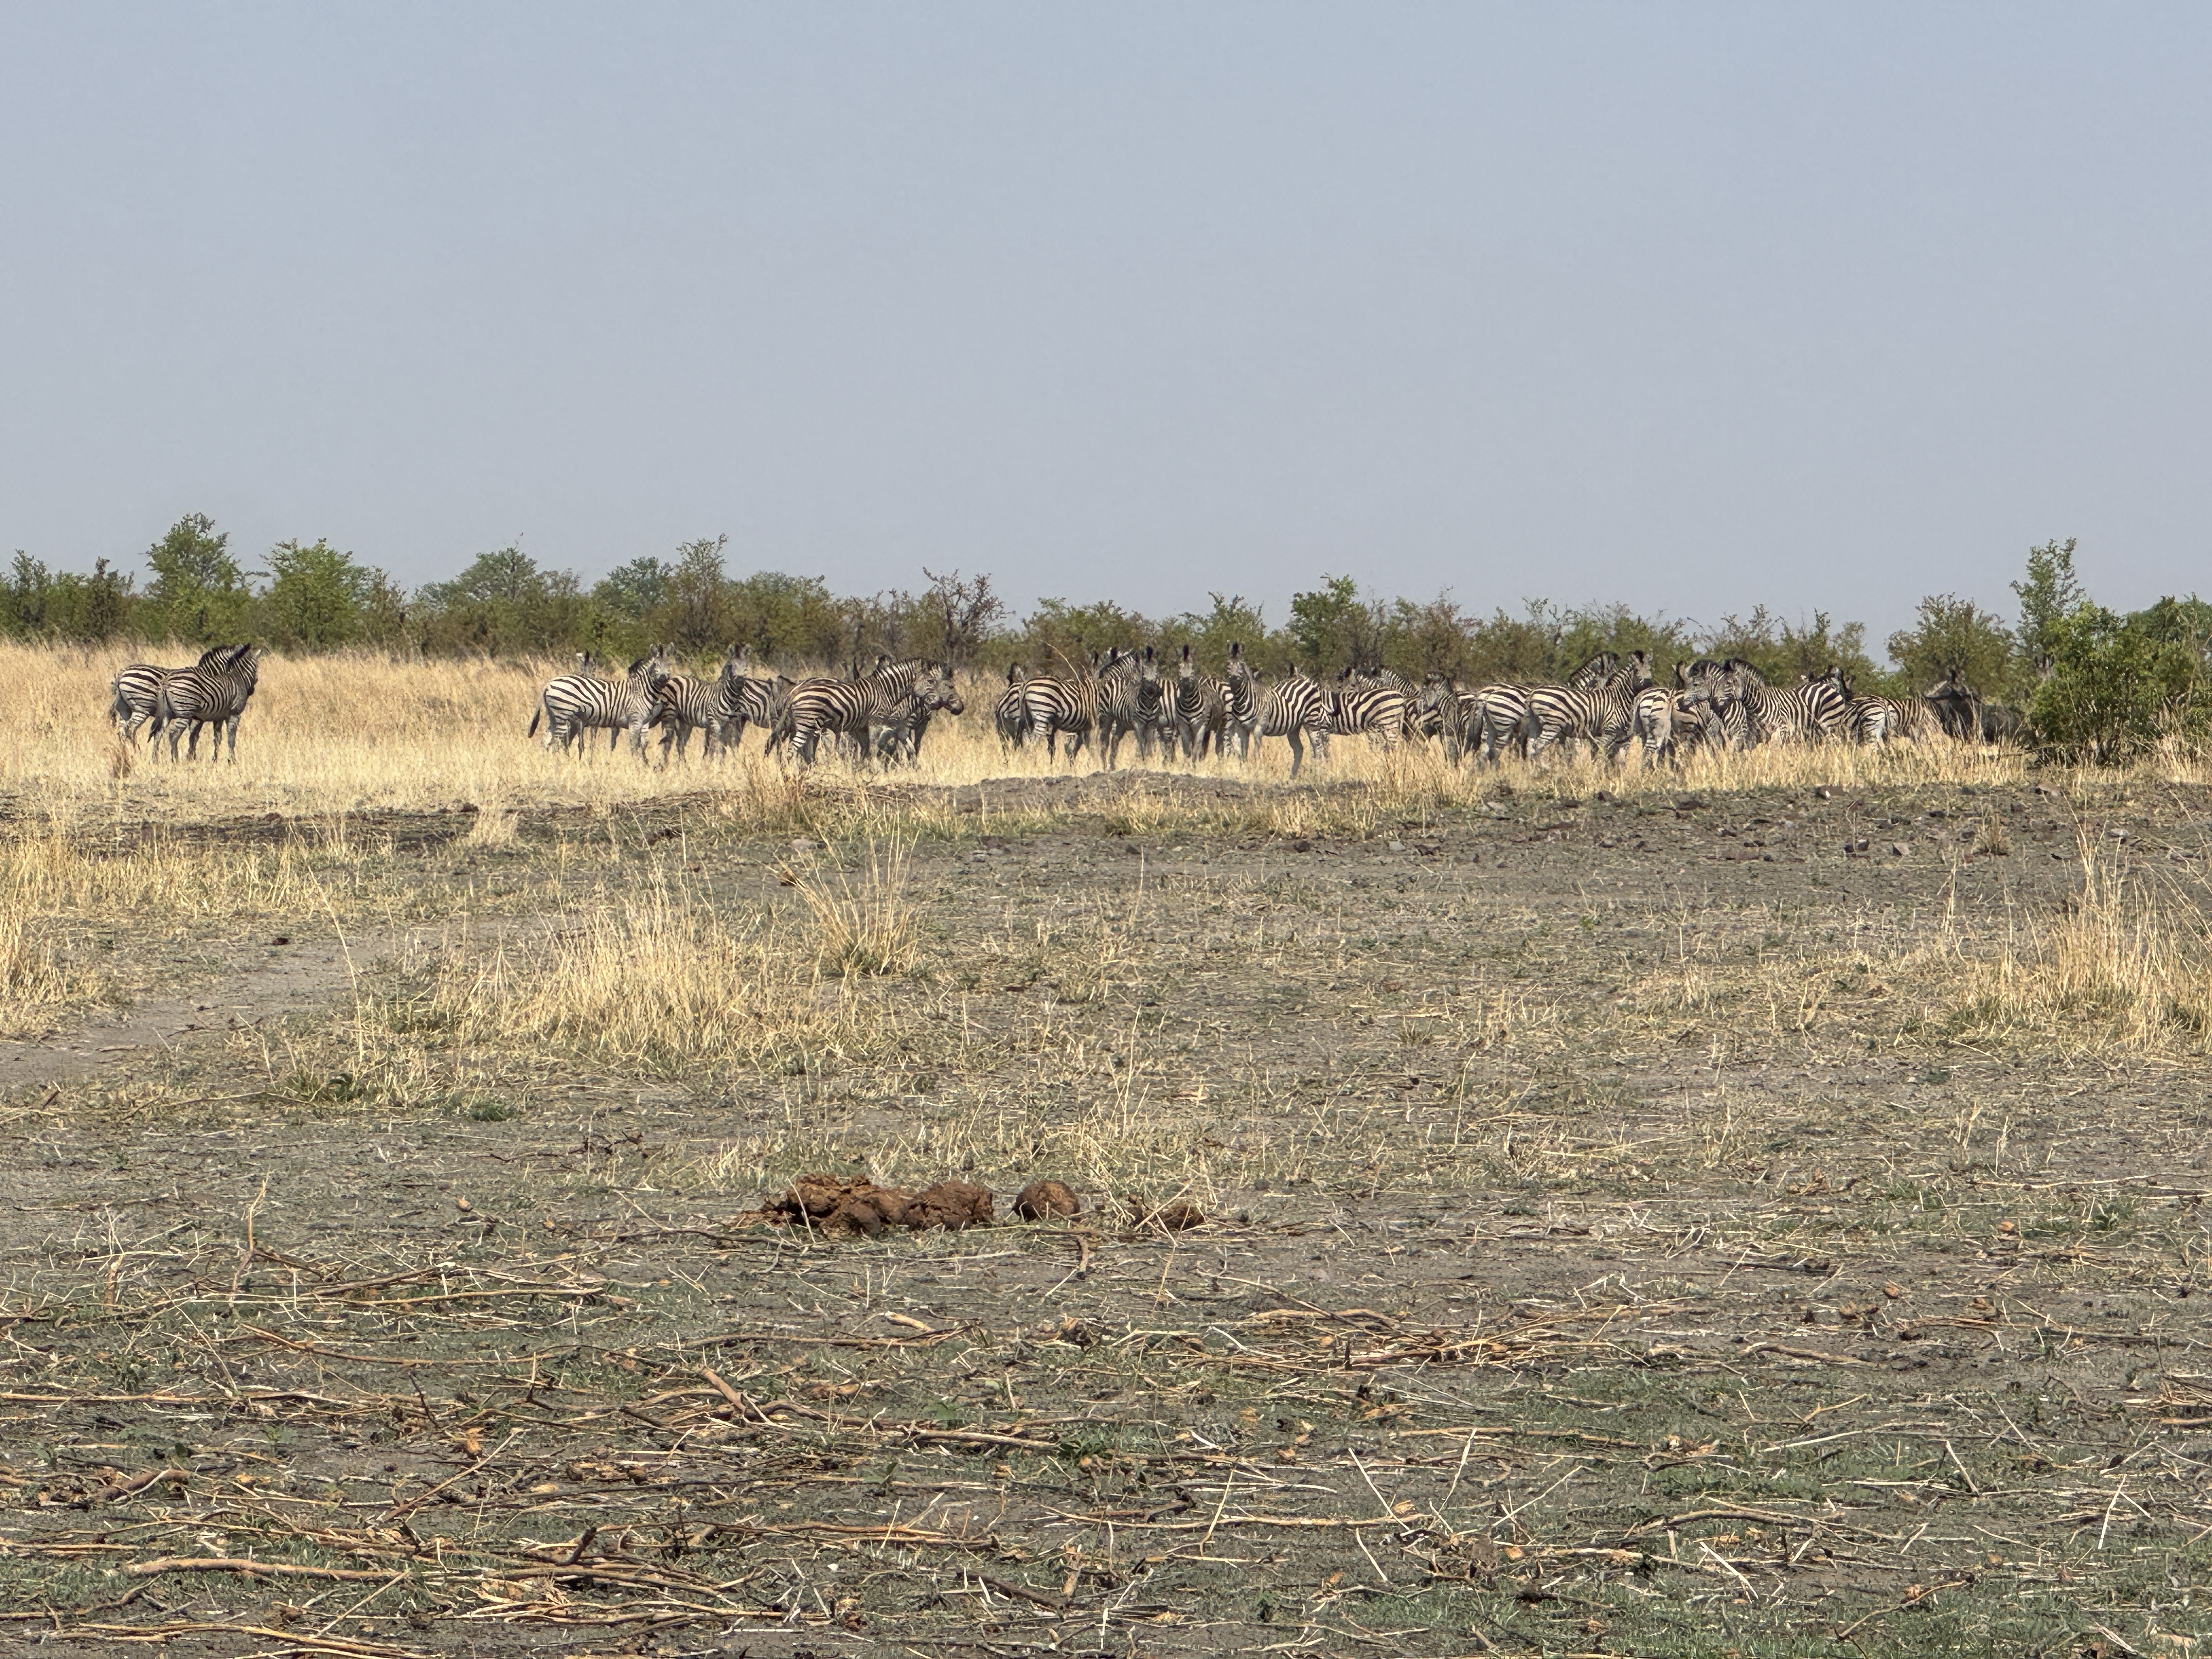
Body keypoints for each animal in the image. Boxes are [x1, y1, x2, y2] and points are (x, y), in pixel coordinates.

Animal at [152, 644, 263, 763]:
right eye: (256, 669)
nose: (251, 691)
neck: (237, 676)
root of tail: (166, 683)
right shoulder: (234, 714)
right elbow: (231, 738)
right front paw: (232, 760)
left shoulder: (218, 718)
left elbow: (216, 738)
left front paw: (213, 759)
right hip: (185, 713)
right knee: (173, 734)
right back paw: (175, 759)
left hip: (167, 715)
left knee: (158, 734)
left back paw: (155, 760)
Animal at [529, 648, 671, 759]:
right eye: (655, 665)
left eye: (669, 665)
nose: (664, 678)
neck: (640, 689)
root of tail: (549, 683)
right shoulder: (635, 722)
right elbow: (635, 747)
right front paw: (637, 767)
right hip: (563, 716)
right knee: (557, 743)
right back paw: (559, 764)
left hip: (554, 717)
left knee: (547, 740)